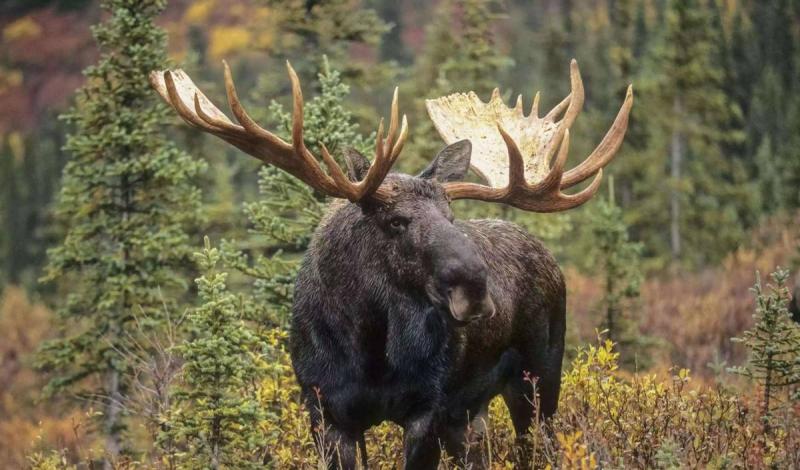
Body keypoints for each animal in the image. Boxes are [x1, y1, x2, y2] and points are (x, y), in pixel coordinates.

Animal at [151, 59, 632, 469]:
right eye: (396, 221)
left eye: (451, 216)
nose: (476, 290)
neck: (369, 345)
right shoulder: (324, 410)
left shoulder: (429, 409)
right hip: (470, 411)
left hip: (539, 378)